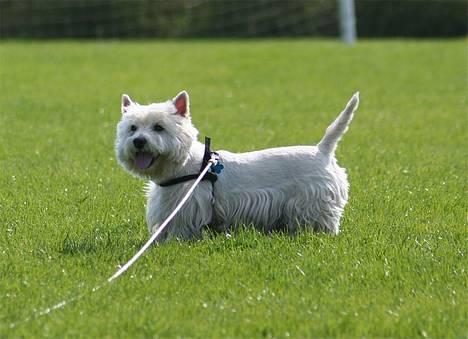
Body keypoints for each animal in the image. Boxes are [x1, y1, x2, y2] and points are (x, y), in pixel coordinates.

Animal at [116, 91, 358, 242]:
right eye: (133, 128)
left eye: (159, 127)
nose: (139, 142)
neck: (183, 165)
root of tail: (322, 150)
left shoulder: (188, 205)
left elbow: (180, 227)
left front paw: (174, 242)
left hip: (313, 199)